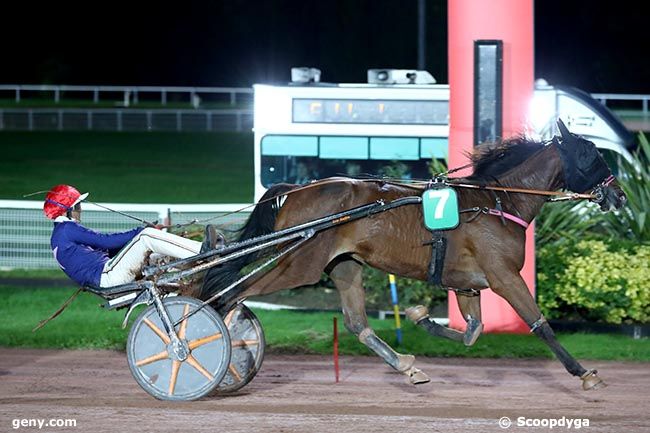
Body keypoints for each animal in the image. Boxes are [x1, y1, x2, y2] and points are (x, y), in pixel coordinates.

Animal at [200, 120, 624, 388]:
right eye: (591, 155)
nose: (618, 195)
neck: (497, 204)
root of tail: (295, 189)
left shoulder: (469, 284)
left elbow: (473, 332)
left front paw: (421, 317)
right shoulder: (504, 277)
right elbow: (540, 325)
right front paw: (585, 374)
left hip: (343, 265)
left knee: (357, 324)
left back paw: (406, 367)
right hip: (297, 263)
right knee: (232, 293)